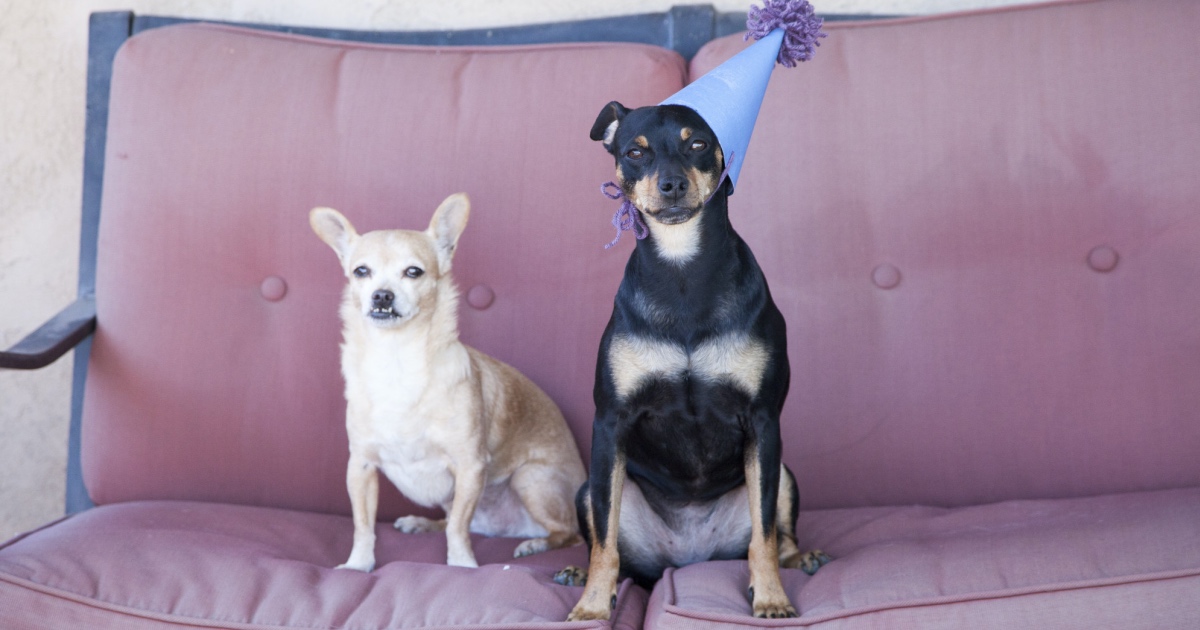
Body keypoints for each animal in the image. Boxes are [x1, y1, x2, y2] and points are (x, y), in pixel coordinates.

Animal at [311, 193, 586, 570]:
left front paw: (462, 565)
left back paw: (536, 544)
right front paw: (358, 564)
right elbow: (363, 525)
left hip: (530, 479)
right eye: (361, 271)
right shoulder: (361, 467)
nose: (381, 295)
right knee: (453, 518)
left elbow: (458, 527)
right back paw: (423, 523)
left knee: (568, 533)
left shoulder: (469, 466)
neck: (396, 361)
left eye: (413, 271)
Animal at [561, 103, 828, 621]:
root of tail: (688, 558)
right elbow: (604, 537)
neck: (682, 265)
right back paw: (579, 574)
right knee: (609, 537)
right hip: (589, 488)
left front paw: (771, 597)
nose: (671, 184)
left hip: (784, 473)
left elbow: (764, 533)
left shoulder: (763, 423)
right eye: (635, 152)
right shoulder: (611, 424)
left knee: (777, 531)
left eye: (698, 144)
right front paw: (593, 606)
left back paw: (801, 557)